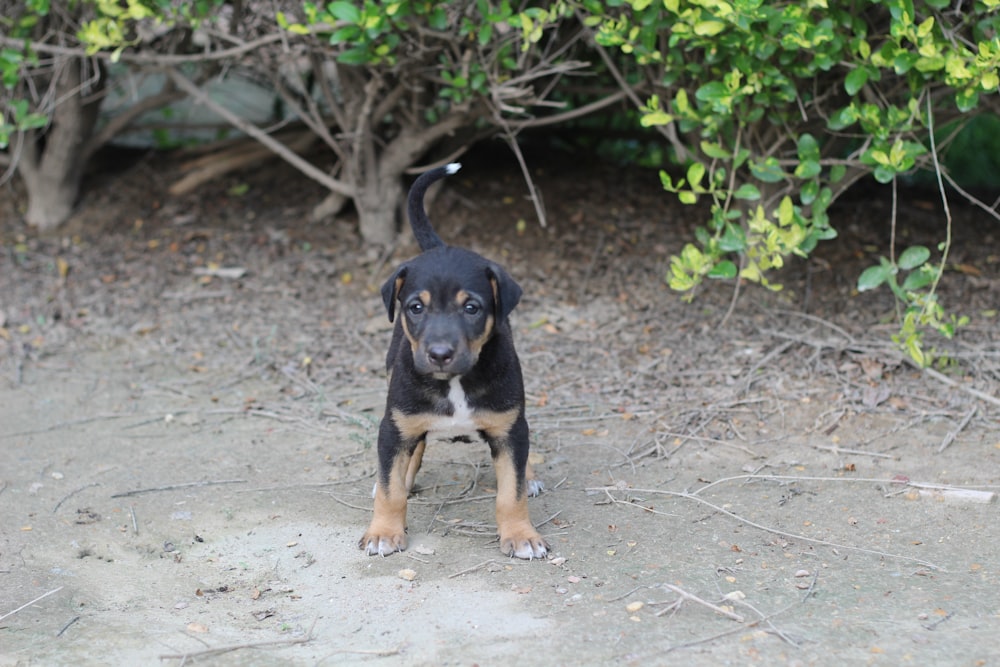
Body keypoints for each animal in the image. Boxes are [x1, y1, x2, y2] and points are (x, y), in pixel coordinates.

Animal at [358, 164, 548, 560]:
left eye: (471, 307)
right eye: (416, 307)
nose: (440, 354)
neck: (455, 382)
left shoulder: (510, 429)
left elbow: (512, 492)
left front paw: (521, 535)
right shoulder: (393, 426)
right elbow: (390, 489)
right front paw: (383, 531)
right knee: (411, 453)